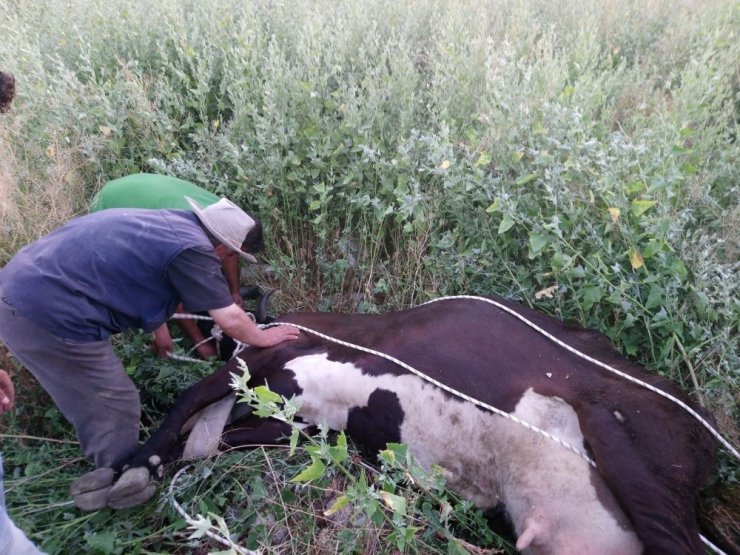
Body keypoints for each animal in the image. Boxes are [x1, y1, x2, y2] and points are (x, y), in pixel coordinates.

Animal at [101, 298, 720, 552]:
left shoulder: (268, 353)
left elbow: (189, 400)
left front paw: (134, 465)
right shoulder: (294, 418)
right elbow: (220, 435)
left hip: (631, 450)